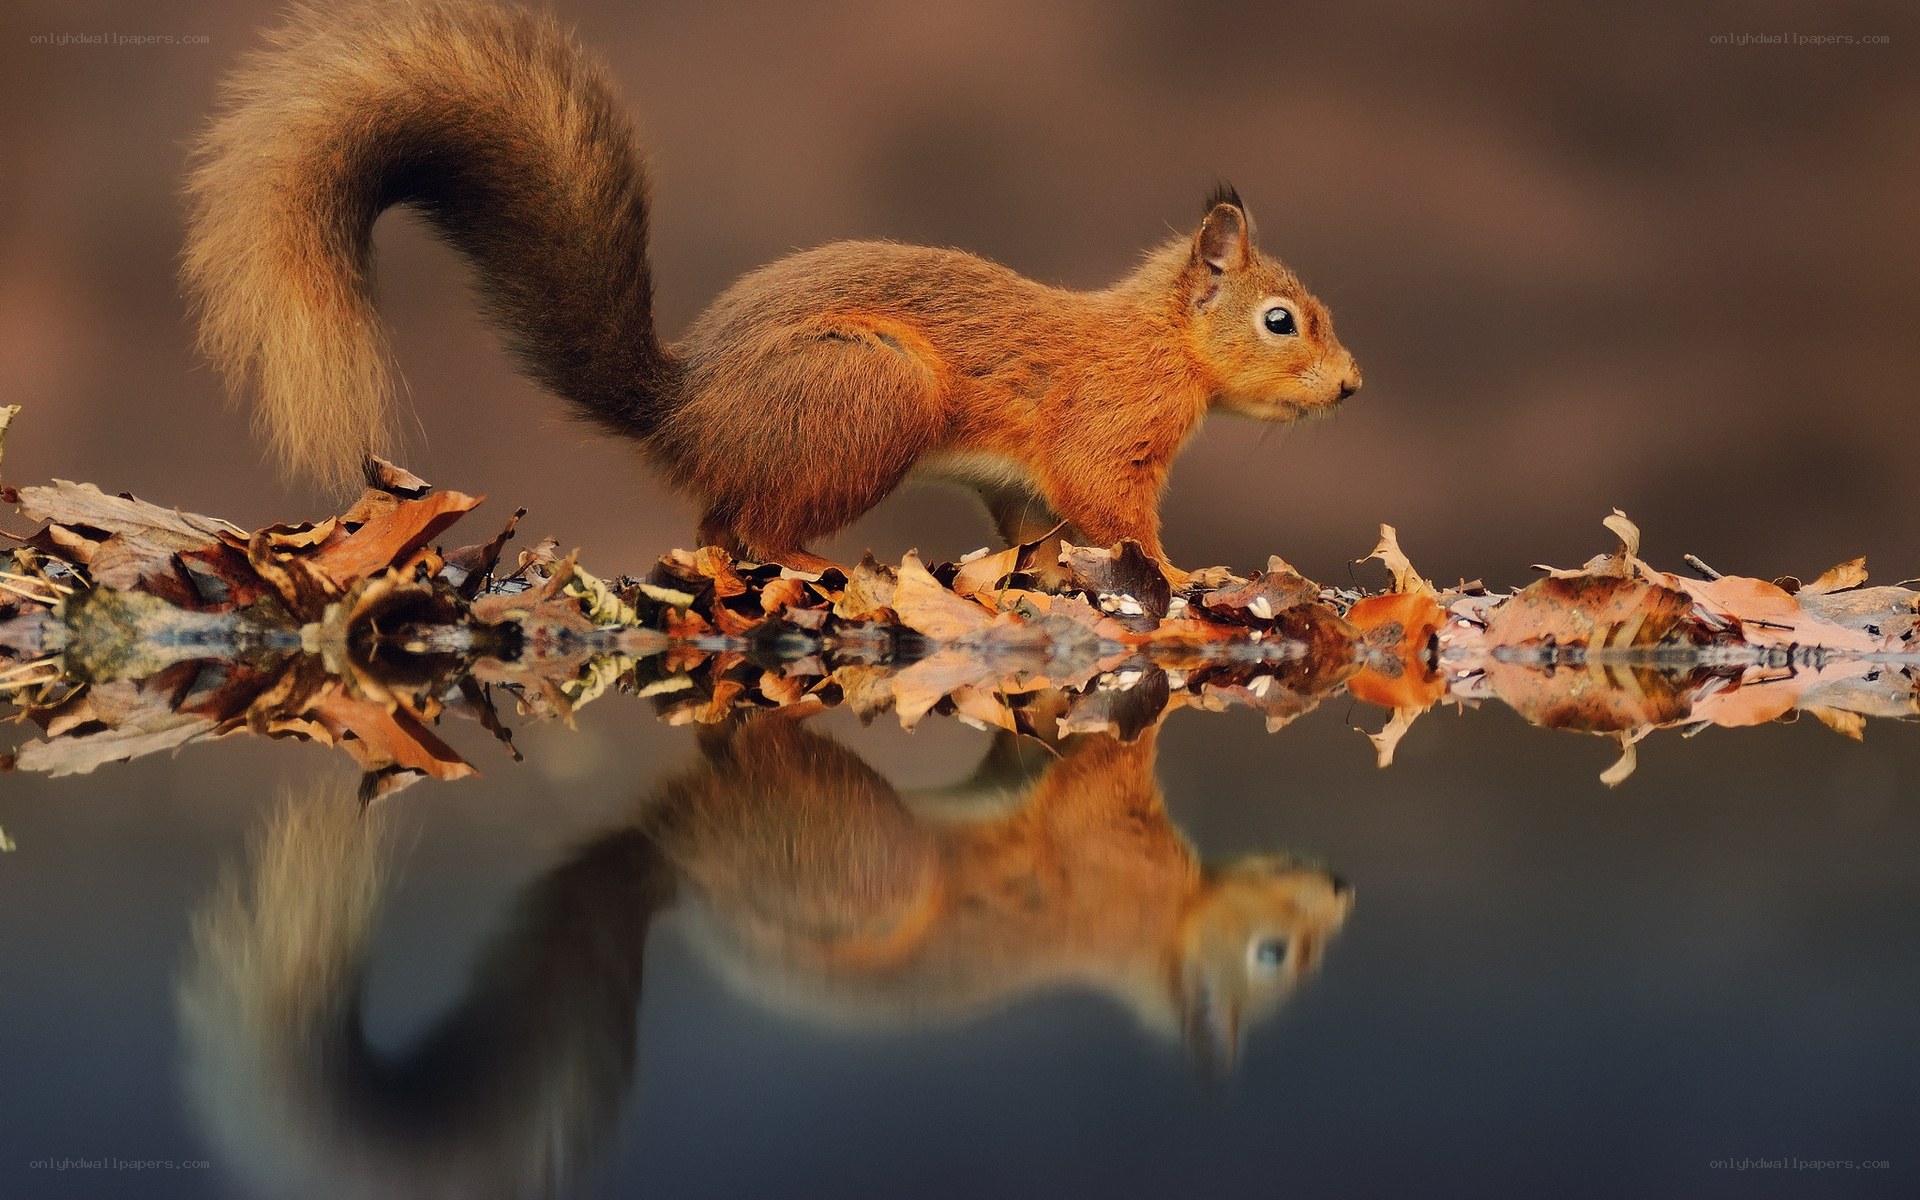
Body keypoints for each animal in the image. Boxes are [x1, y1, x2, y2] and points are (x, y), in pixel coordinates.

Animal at [183, 1, 1360, 575]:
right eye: (1281, 320)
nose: (1351, 388)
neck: (1161, 342)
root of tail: (688, 412)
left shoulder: (1025, 482)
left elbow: (1037, 523)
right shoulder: (1105, 431)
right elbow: (1115, 512)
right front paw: (1186, 578)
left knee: (718, 528)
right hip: (869, 399)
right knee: (757, 528)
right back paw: (822, 562)